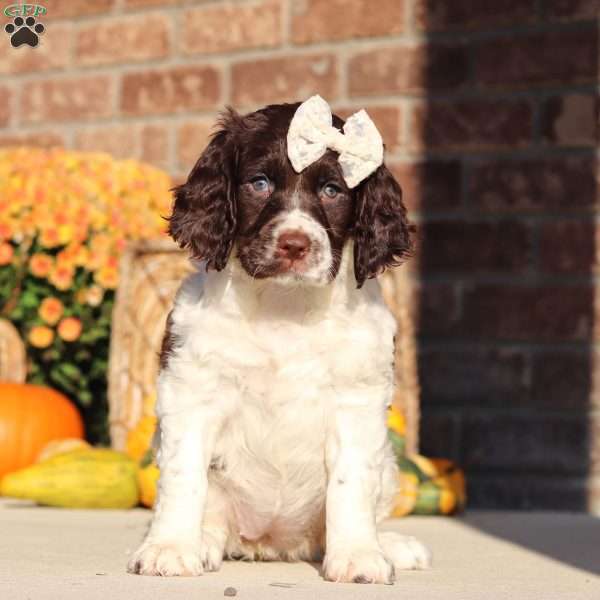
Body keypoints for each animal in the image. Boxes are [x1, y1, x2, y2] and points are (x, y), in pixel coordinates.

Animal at [127, 101, 432, 584]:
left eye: (332, 190)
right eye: (259, 183)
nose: (295, 245)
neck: (284, 306)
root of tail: (273, 544)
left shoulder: (357, 398)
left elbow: (350, 481)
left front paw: (359, 556)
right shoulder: (190, 387)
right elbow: (183, 474)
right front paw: (170, 548)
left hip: (387, 465)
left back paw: (391, 545)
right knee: (214, 518)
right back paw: (203, 544)